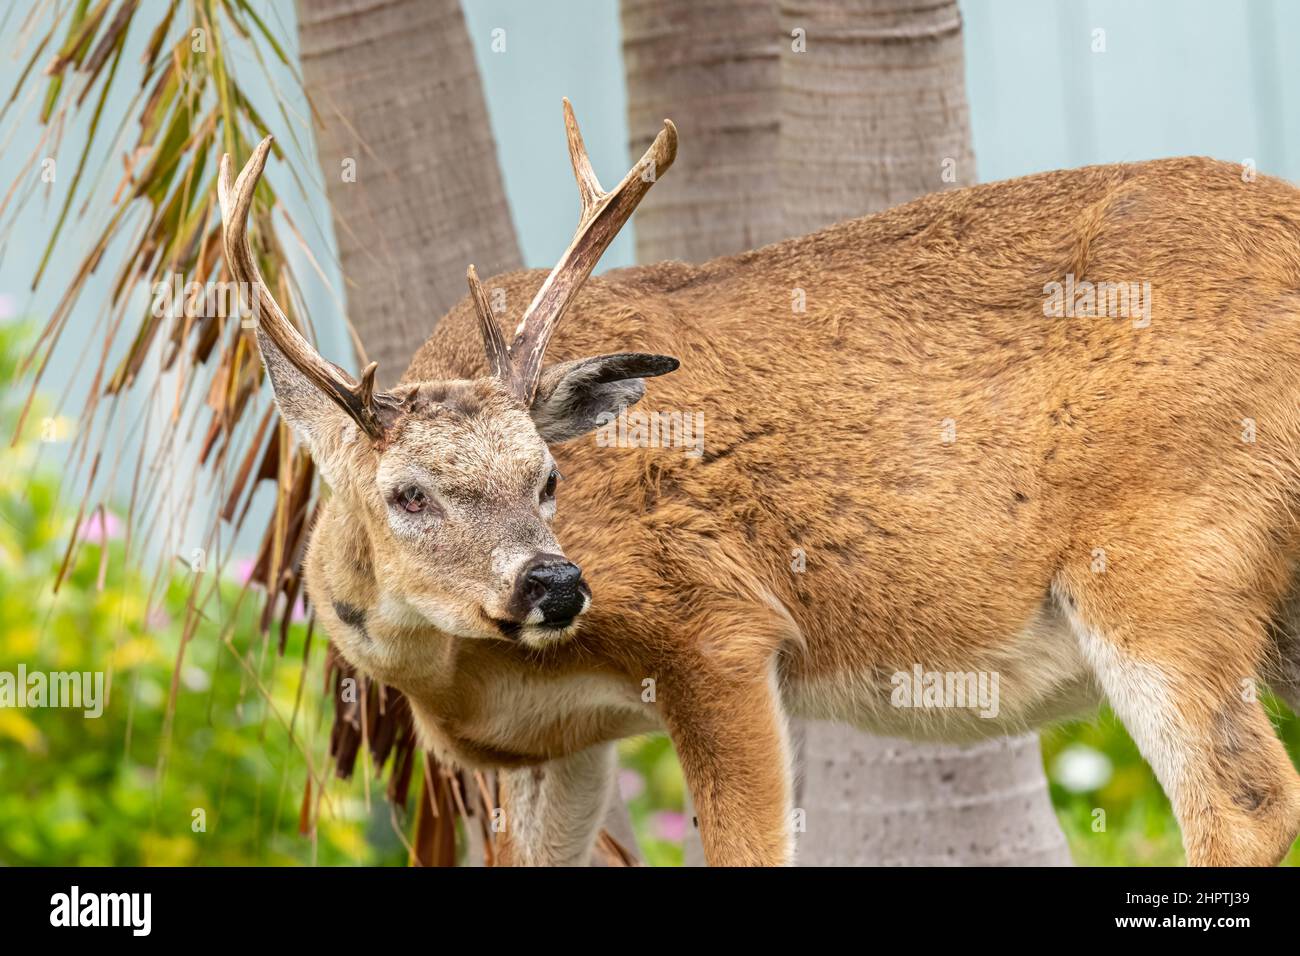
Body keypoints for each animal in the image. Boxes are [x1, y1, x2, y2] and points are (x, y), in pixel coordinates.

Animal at [218, 99, 1300, 867]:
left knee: (1246, 804)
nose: (554, 581)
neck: (467, 674)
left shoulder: (715, 628)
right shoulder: (555, 746)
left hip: (1166, 557)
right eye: (408, 492)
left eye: (549, 474)